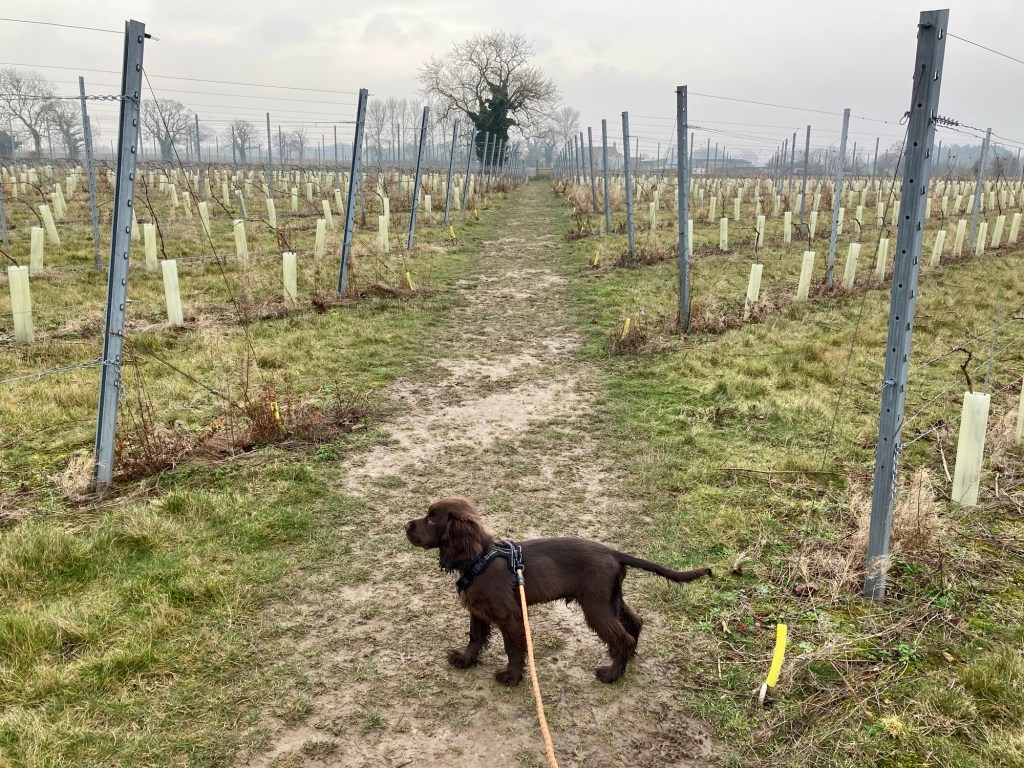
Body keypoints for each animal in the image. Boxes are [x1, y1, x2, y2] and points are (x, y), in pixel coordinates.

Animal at [405, 497, 712, 686]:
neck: (480, 558)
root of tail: (613, 552)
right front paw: (465, 660)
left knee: (621, 637)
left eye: (432, 519)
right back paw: (627, 661)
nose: (405, 525)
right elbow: (475, 637)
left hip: (595, 605)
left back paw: (612, 674)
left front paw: (512, 677)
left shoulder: (510, 617)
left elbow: (512, 648)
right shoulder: (478, 611)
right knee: (634, 622)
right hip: (611, 598)